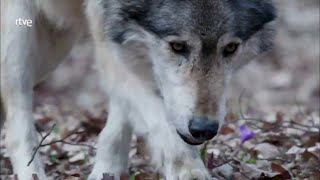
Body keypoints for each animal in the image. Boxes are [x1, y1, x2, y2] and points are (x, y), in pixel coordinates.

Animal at [0, 0, 276, 179]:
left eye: (230, 48)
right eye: (178, 46)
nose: (203, 129)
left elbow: (121, 116)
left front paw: (106, 169)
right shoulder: (109, 37)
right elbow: (156, 116)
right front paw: (189, 171)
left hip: (55, 45)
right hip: (20, 36)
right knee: (16, 125)